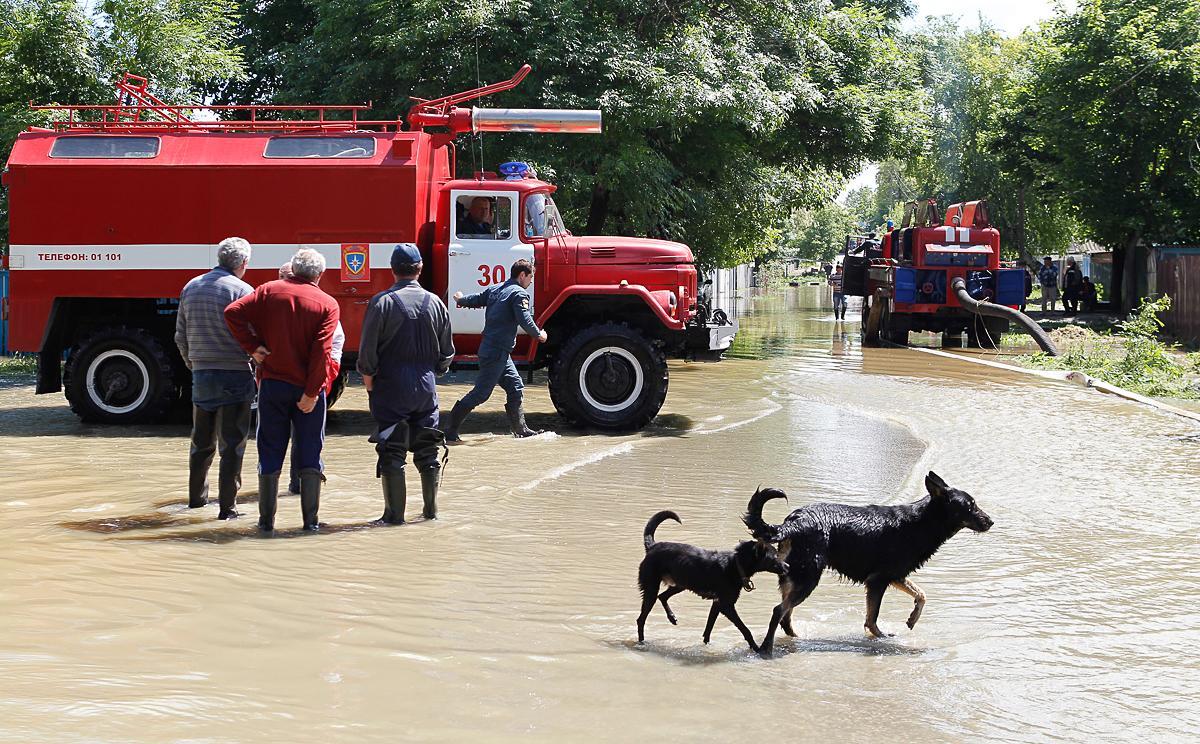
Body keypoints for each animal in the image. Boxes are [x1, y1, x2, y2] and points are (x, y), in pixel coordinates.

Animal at [633, 499, 792, 652]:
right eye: (775, 557)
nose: (788, 567)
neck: (735, 565)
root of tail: (652, 546)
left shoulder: (717, 603)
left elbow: (708, 628)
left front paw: (706, 645)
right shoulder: (727, 606)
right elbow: (744, 629)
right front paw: (756, 648)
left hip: (680, 584)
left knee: (662, 597)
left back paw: (672, 618)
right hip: (651, 589)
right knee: (641, 619)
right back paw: (642, 643)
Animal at [739, 472, 993, 652]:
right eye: (970, 506)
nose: (991, 521)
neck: (923, 522)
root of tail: (793, 523)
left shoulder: (894, 575)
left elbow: (921, 594)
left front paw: (912, 619)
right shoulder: (878, 580)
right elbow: (872, 619)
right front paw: (882, 638)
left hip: (794, 576)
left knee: (786, 615)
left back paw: (796, 639)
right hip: (808, 578)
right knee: (778, 611)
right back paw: (767, 648)